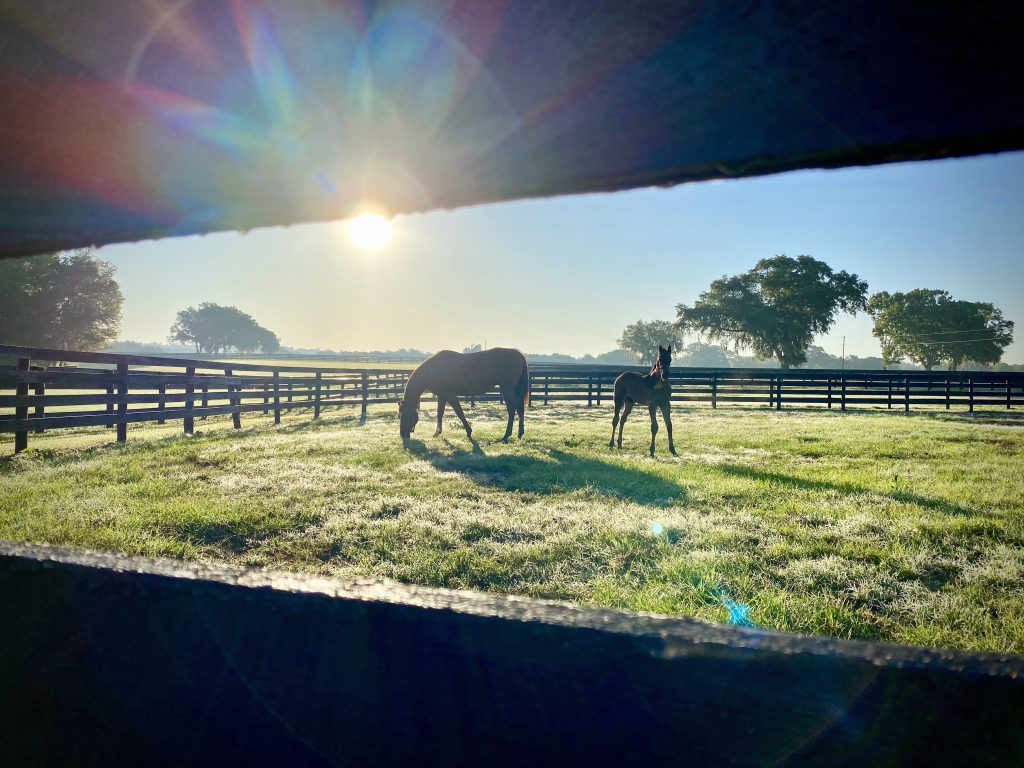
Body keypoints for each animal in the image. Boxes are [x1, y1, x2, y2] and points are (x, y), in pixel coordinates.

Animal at [398, 348, 530, 442]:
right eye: (399, 416)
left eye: (404, 416)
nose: (402, 435)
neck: (433, 369)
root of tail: (517, 353)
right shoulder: (442, 396)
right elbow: (439, 413)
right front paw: (437, 433)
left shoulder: (449, 395)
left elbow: (459, 412)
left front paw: (469, 431)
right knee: (520, 409)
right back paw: (519, 434)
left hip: (507, 388)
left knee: (512, 409)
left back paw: (506, 435)